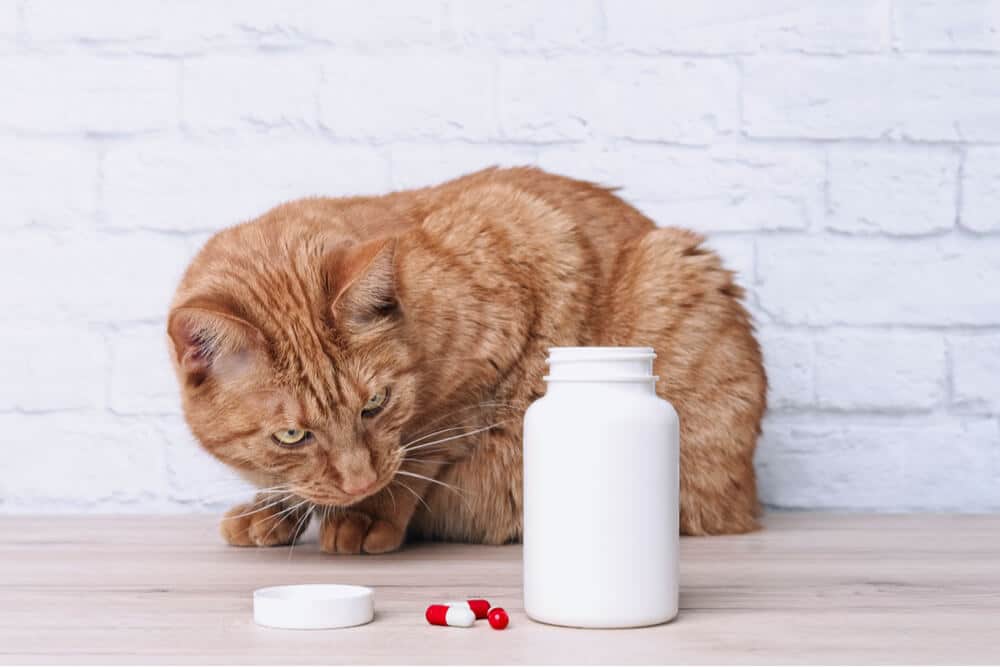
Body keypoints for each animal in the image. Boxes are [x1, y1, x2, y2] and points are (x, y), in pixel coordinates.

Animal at [170, 167, 764, 552]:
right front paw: (273, 509)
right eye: (292, 436)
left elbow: (425, 445)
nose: (361, 484)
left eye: (376, 404)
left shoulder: (525, 262)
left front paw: (368, 513)